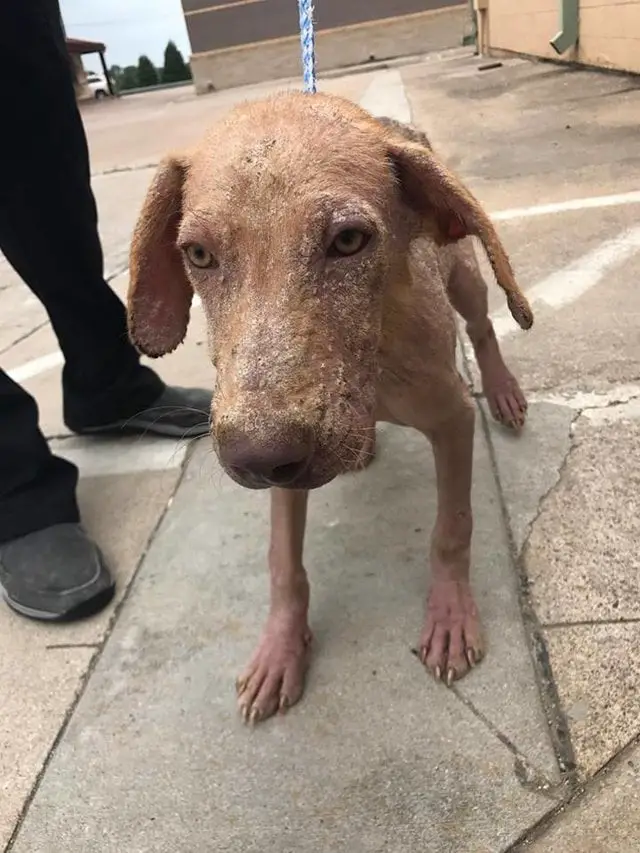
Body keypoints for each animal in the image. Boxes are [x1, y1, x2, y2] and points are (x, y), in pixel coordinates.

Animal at [127, 93, 532, 724]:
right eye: (197, 254)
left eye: (347, 241)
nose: (254, 460)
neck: (373, 366)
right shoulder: (284, 463)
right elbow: (283, 563)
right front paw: (280, 650)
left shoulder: (451, 418)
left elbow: (452, 527)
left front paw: (449, 615)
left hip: (465, 274)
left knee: (483, 325)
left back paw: (503, 388)